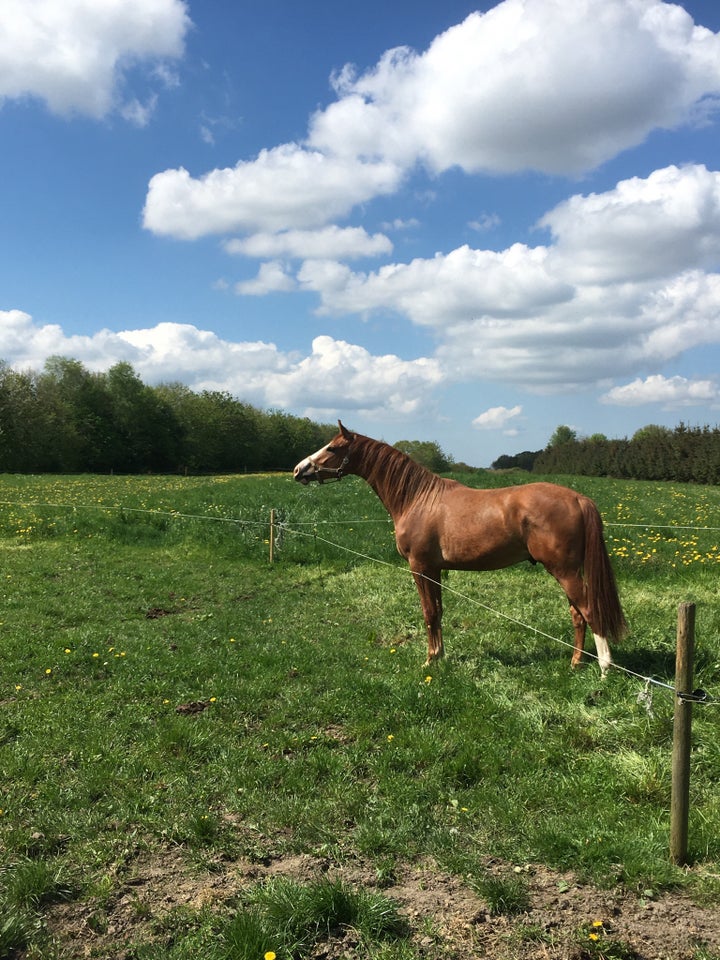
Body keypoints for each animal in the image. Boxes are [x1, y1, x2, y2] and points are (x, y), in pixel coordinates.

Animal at [296, 420, 628, 676]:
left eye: (333, 448)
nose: (299, 470)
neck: (417, 499)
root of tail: (578, 499)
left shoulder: (420, 567)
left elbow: (428, 612)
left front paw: (430, 661)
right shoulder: (434, 569)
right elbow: (438, 611)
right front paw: (440, 656)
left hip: (565, 571)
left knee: (590, 611)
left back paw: (604, 669)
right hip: (566, 571)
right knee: (577, 615)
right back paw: (575, 664)